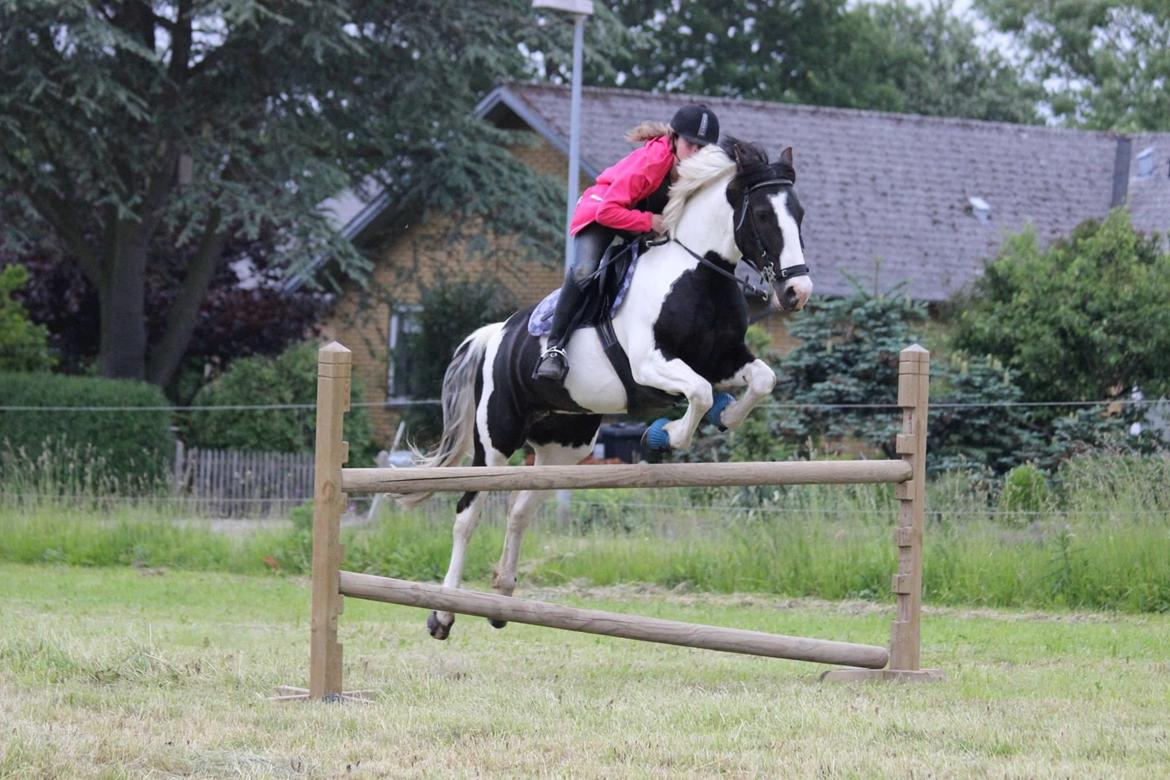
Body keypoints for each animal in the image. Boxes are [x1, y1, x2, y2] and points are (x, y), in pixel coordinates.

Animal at [400, 138, 813, 640]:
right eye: (763, 216)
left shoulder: (725, 359)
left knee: (520, 509)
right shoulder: (650, 363)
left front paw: (726, 415)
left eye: (800, 213)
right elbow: (697, 392)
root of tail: (496, 333)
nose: (797, 292)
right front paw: (663, 435)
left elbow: (759, 380)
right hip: (496, 439)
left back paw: (502, 599)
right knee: (468, 513)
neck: (697, 273)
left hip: (564, 446)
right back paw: (443, 613)